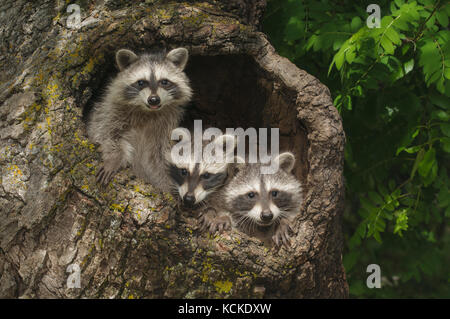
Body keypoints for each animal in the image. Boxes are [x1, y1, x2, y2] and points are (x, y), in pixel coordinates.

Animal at [87, 47, 192, 192]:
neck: (148, 111)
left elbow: (160, 156)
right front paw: (114, 159)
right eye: (141, 82)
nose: (153, 99)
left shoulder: (167, 124)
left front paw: (167, 184)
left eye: (164, 82)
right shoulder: (111, 111)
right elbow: (107, 133)